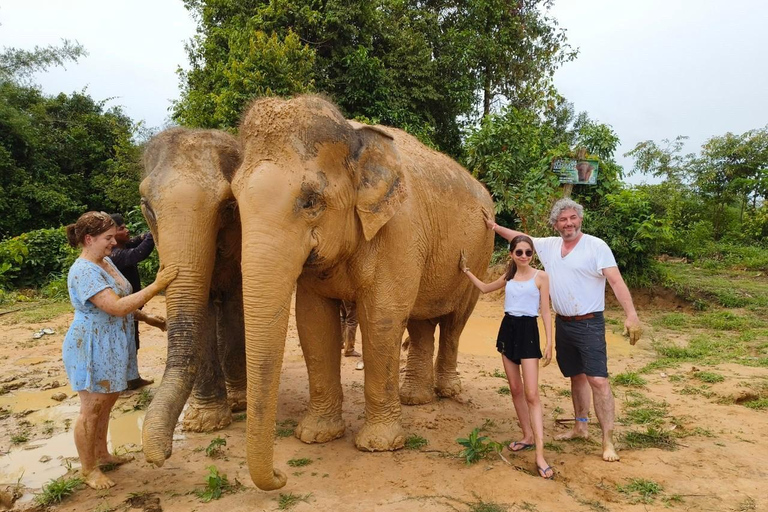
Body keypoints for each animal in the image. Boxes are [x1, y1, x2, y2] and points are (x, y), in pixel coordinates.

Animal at [136, 126, 246, 466]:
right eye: (147, 205)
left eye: (228, 207)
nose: (160, 458)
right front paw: (206, 423)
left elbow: (234, 299)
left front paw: (236, 406)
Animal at [231, 94, 496, 490]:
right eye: (234, 200)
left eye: (311, 201)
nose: (280, 475)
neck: (354, 136)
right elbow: (313, 323)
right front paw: (315, 436)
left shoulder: (400, 229)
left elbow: (382, 320)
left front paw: (378, 446)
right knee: (420, 323)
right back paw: (415, 399)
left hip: (480, 255)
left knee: (454, 322)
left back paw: (448, 392)